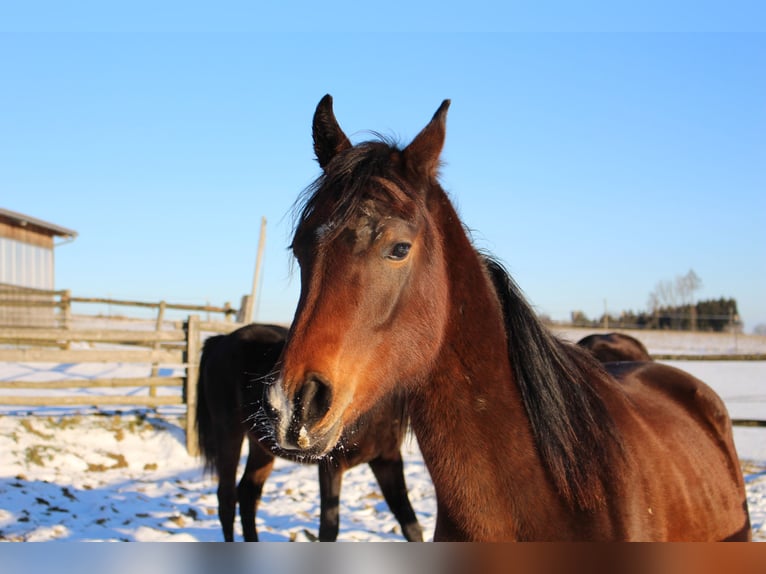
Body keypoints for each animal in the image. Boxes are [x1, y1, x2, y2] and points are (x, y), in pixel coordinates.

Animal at [196, 322, 423, 542]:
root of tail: (222, 339)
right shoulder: (331, 466)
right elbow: (329, 529)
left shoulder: (387, 460)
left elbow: (410, 524)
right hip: (228, 433)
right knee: (226, 499)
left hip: (261, 446)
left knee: (248, 493)